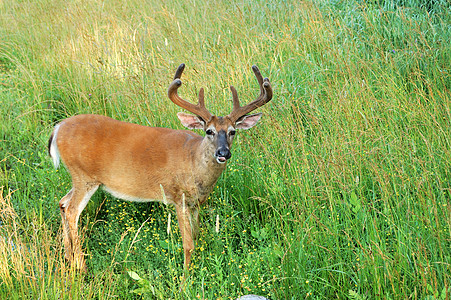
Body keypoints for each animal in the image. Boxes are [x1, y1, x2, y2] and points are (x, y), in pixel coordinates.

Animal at [49, 63, 274, 272]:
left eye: (233, 131)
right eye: (208, 131)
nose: (223, 153)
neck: (193, 161)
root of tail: (58, 128)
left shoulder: (195, 203)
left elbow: (197, 235)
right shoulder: (178, 197)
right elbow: (188, 244)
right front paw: (185, 278)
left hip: (79, 177)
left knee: (62, 203)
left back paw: (68, 257)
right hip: (84, 176)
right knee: (72, 211)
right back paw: (81, 266)